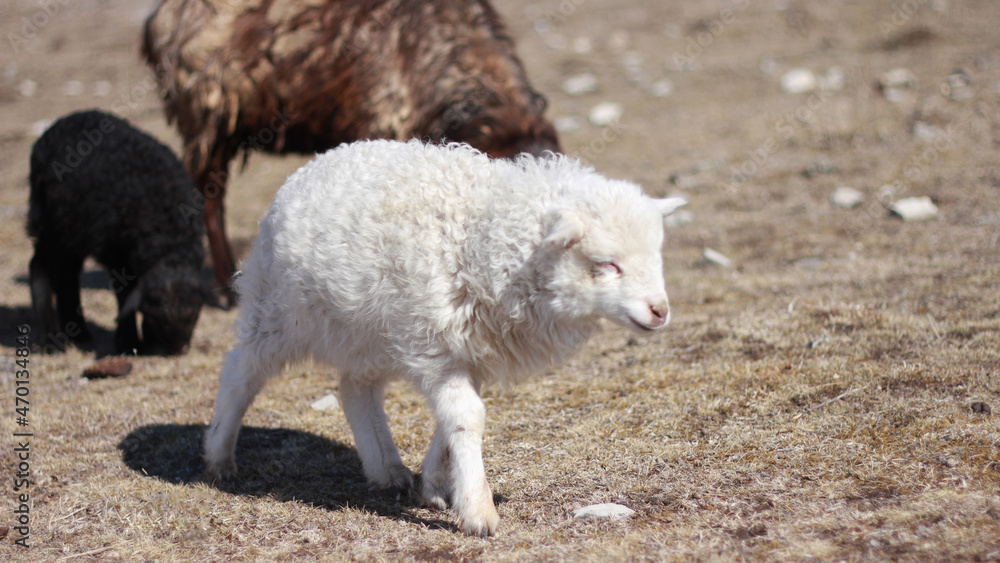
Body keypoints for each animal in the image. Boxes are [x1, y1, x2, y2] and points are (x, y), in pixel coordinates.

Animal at [27, 110, 214, 356]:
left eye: (194, 316)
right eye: (157, 317)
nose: (176, 349)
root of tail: (61, 121)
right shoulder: (114, 251)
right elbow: (125, 295)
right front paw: (128, 342)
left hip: (71, 229)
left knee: (66, 274)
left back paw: (79, 334)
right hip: (49, 221)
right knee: (40, 266)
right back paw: (47, 340)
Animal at [203, 139, 686, 536]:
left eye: (657, 256)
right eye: (608, 264)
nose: (660, 311)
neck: (485, 240)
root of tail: (320, 160)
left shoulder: (468, 349)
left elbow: (455, 416)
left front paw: (436, 482)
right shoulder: (435, 346)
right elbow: (469, 416)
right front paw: (478, 510)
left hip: (369, 330)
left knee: (356, 390)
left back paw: (386, 468)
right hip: (277, 308)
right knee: (240, 371)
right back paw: (219, 455)